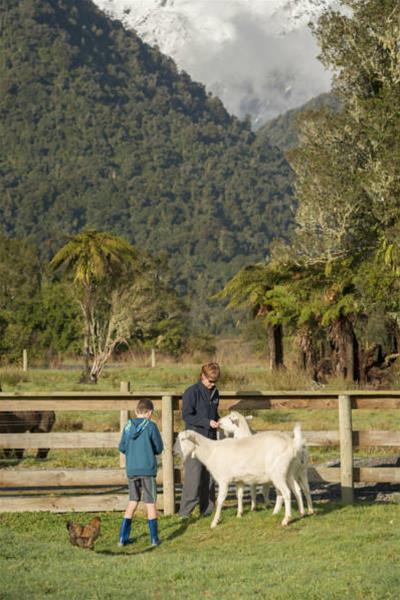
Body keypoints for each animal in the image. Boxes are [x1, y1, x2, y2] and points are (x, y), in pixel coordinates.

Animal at [177, 425, 306, 528]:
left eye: (183, 439)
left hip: (278, 472)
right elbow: (239, 495)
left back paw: (286, 520)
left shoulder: (223, 480)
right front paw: (239, 514)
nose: (177, 454)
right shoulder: (239, 480)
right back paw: (302, 513)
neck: (211, 452)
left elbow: (220, 500)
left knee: (287, 493)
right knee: (297, 489)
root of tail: (292, 445)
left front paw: (214, 522)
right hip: (289, 471)